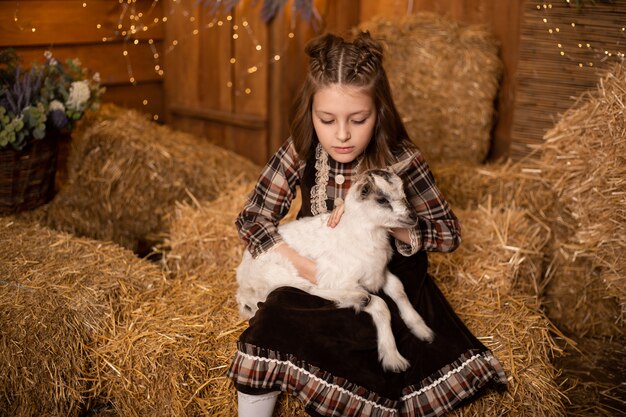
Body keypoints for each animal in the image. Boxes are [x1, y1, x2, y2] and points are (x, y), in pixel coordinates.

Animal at [234, 166, 434, 370]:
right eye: (382, 200)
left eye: (404, 192)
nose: (413, 217)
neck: (359, 234)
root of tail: (242, 282)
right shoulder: (341, 278)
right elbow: (381, 305)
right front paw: (393, 358)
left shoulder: (379, 272)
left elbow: (398, 289)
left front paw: (422, 329)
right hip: (281, 273)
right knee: (313, 289)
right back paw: (358, 298)